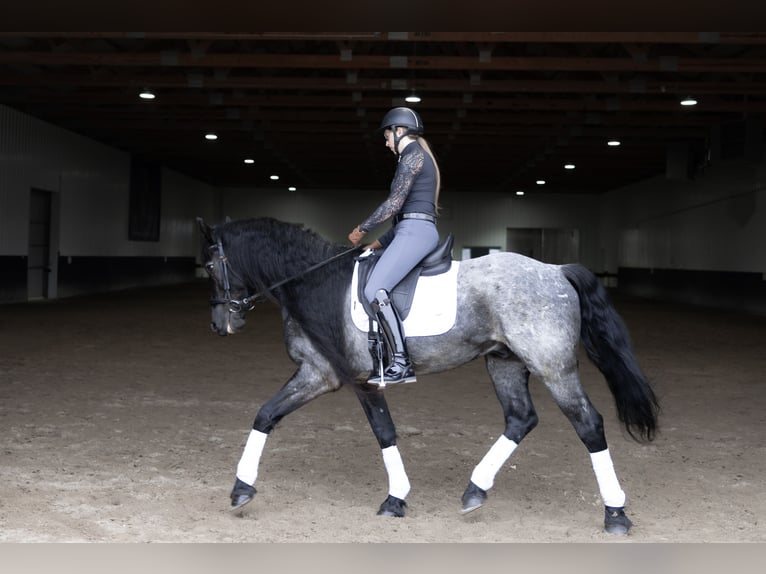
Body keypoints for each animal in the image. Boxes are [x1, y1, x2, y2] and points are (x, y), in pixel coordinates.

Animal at [197, 216, 659, 535]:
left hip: (553, 366)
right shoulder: (320, 373)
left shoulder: (344, 377)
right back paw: (475, 490)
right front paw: (241, 489)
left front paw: (395, 499)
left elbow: (382, 431)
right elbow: (266, 415)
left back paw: (615, 513)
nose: (220, 324)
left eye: (211, 266)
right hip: (505, 361)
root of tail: (555, 269)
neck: (314, 282)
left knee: (588, 424)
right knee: (521, 418)